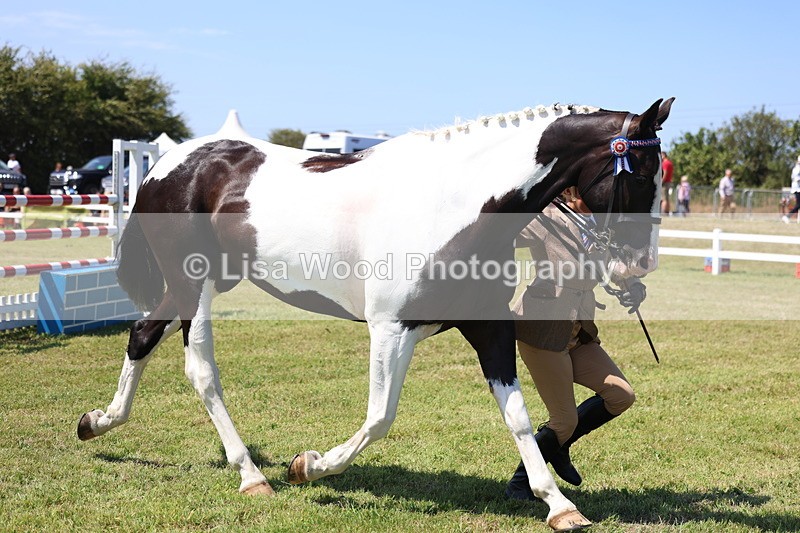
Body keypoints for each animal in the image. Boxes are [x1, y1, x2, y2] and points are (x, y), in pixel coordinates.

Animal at [77, 98, 674, 531]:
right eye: (642, 173)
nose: (641, 264)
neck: (457, 207)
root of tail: (168, 165)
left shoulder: (489, 327)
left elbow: (520, 417)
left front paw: (559, 506)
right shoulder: (391, 329)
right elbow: (380, 417)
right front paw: (308, 465)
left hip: (204, 282)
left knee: (141, 333)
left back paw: (98, 422)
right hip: (193, 285)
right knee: (200, 370)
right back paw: (251, 474)